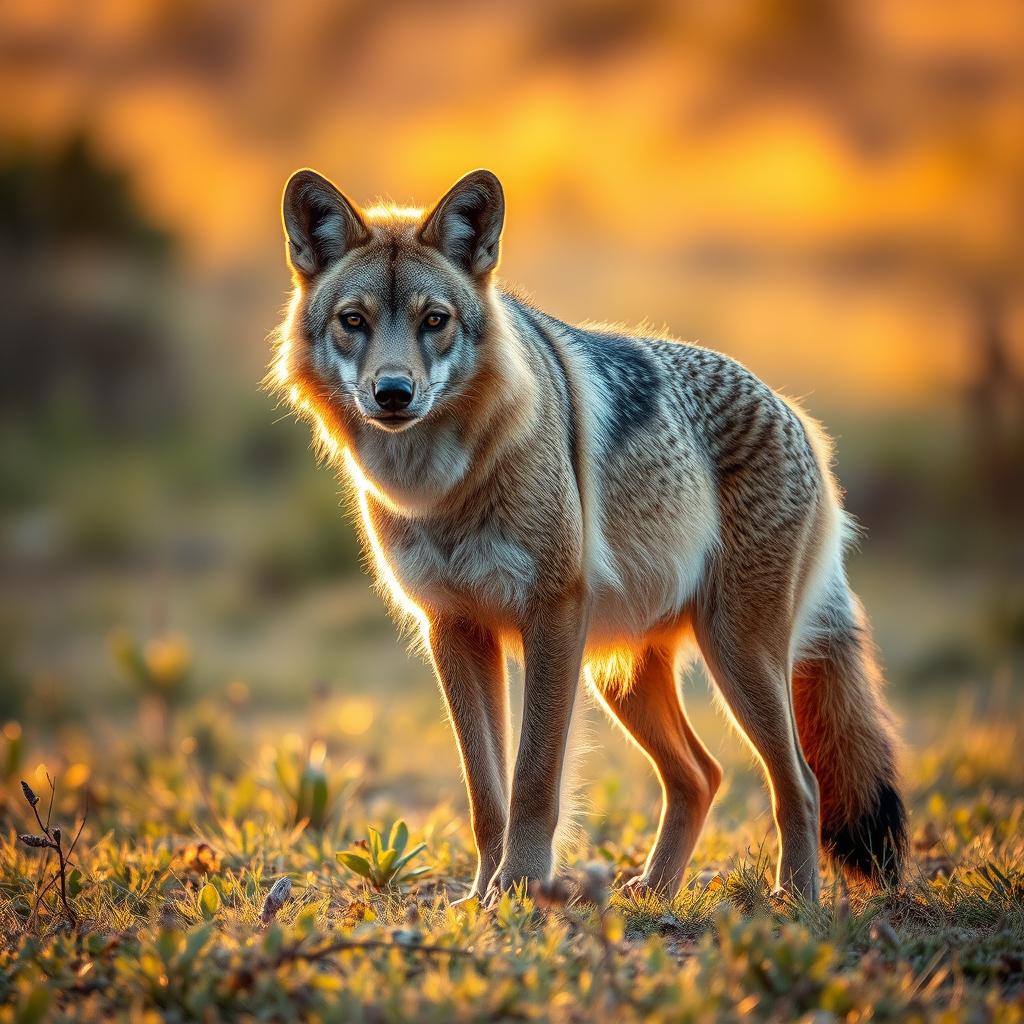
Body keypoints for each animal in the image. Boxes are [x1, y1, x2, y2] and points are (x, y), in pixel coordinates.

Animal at [268, 167, 908, 903]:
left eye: (435, 320)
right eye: (354, 321)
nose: (394, 392)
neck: (442, 484)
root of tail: (800, 418)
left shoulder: (552, 614)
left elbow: (533, 780)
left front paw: (519, 887)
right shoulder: (453, 628)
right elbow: (485, 793)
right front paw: (481, 897)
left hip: (736, 657)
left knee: (798, 784)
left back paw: (796, 899)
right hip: (624, 677)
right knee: (702, 775)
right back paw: (654, 893)